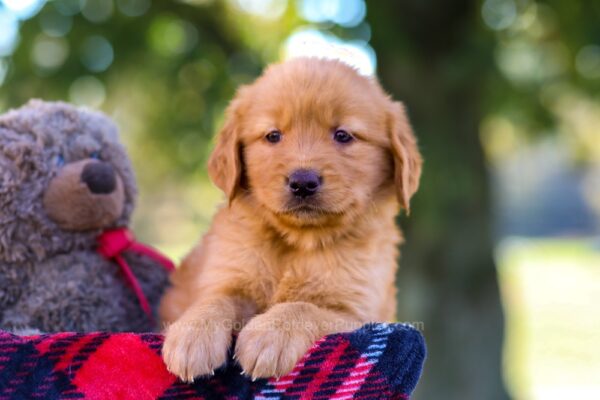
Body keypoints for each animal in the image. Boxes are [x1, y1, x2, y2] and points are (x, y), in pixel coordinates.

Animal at [159, 56, 422, 382]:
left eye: (343, 135)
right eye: (273, 135)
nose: (303, 182)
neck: (299, 241)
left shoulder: (357, 313)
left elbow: (303, 307)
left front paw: (270, 336)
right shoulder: (227, 276)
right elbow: (216, 299)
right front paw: (193, 333)